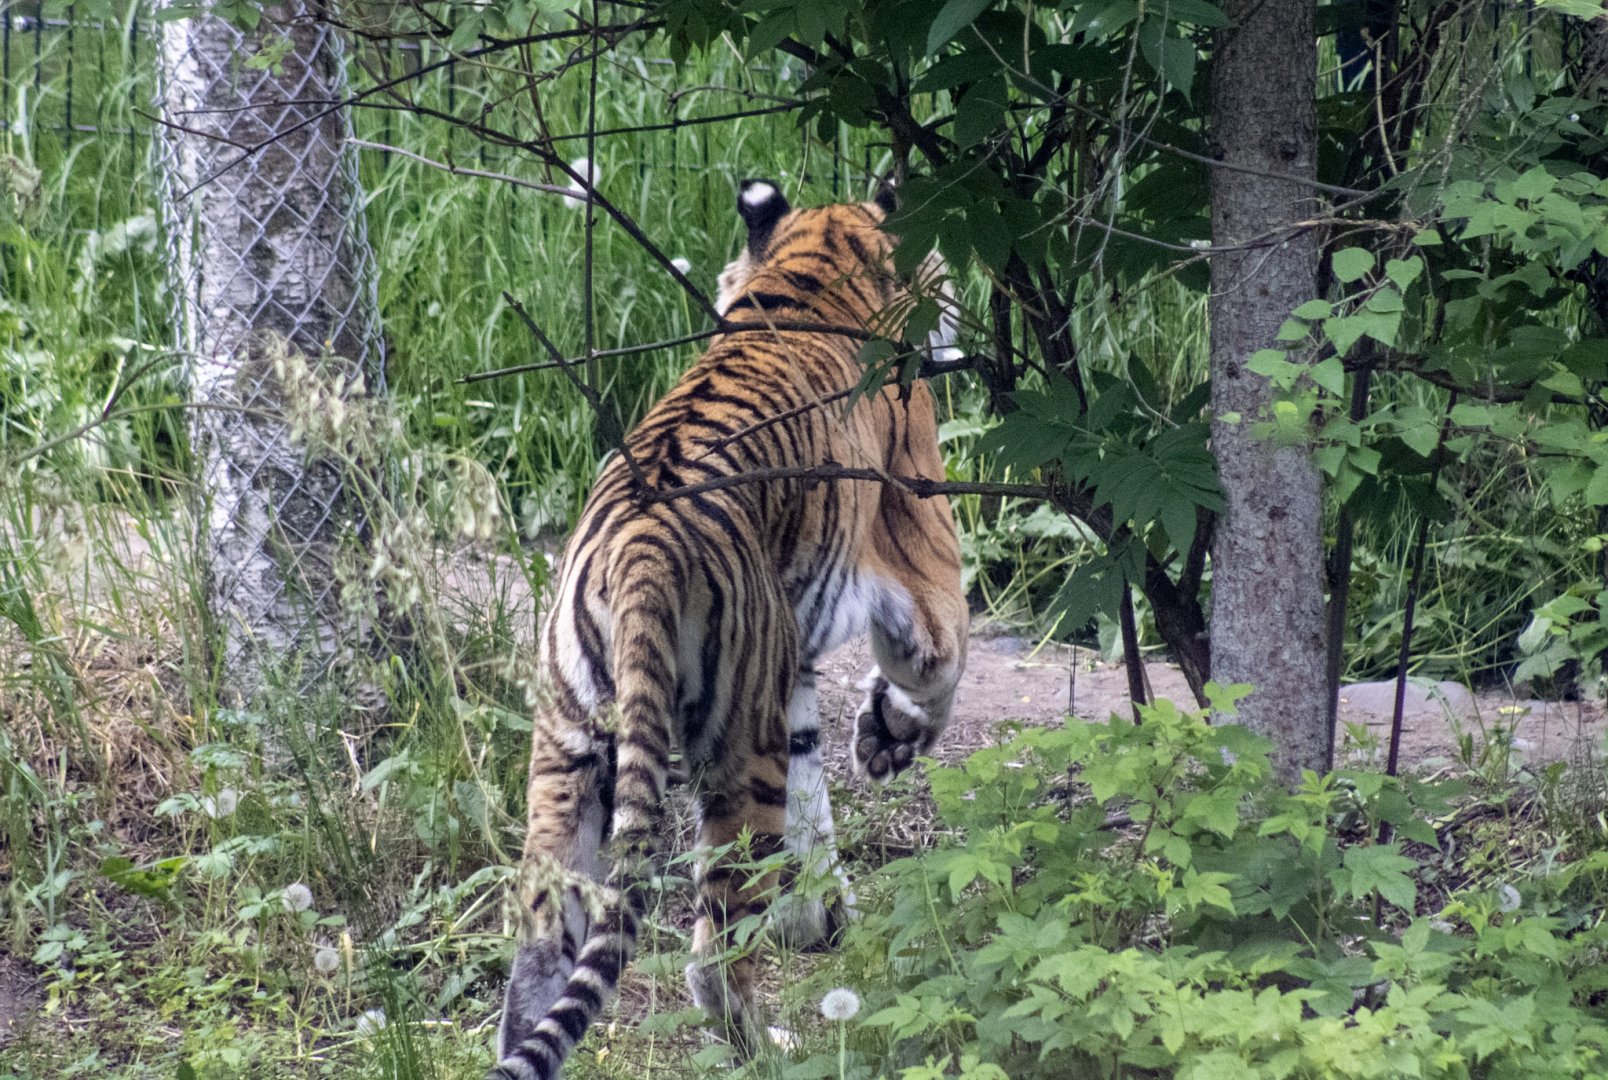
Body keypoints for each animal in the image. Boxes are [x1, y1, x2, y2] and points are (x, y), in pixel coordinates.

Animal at [490, 179, 969, 1080]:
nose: (955, 315)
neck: (808, 269)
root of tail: (640, 552)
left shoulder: (790, 658)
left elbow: (816, 782)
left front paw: (822, 911)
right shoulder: (922, 546)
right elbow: (939, 666)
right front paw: (888, 741)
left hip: (569, 753)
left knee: (540, 956)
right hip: (735, 759)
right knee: (711, 955)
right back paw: (769, 1048)